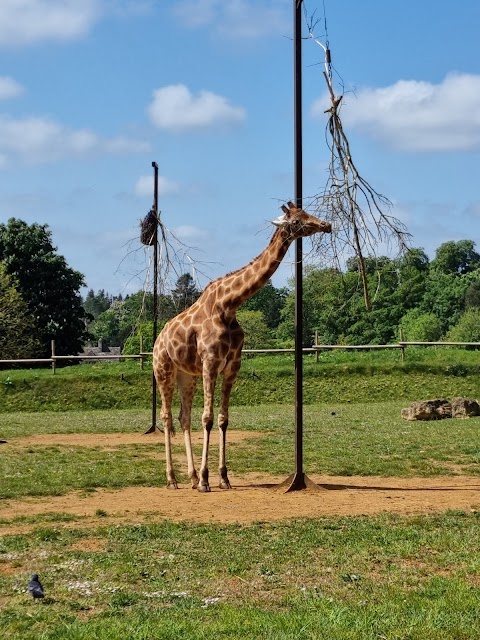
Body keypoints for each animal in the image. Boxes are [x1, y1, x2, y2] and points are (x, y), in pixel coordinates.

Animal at [153, 202, 330, 492]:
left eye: (306, 213)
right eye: (296, 221)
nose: (326, 225)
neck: (229, 304)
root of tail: (158, 339)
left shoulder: (232, 365)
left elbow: (223, 419)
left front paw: (223, 477)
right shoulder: (211, 362)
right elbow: (208, 418)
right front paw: (206, 480)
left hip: (186, 375)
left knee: (183, 417)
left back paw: (190, 477)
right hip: (163, 370)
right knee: (167, 417)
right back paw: (172, 479)